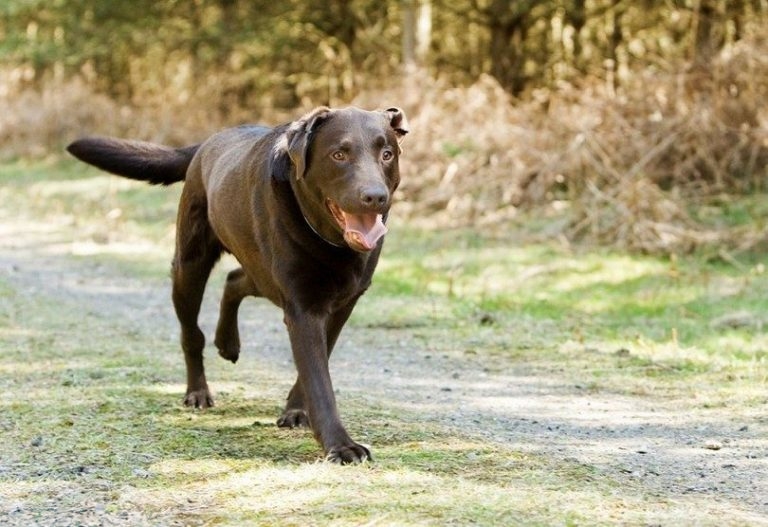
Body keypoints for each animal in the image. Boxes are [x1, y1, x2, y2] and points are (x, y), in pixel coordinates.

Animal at [67, 106, 408, 462]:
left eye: (387, 154)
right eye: (339, 154)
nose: (375, 197)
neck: (332, 242)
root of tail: (207, 142)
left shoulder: (341, 305)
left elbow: (317, 363)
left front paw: (296, 410)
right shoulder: (302, 307)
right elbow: (319, 381)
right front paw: (340, 445)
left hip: (261, 272)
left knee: (234, 281)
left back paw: (228, 343)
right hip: (190, 267)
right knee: (192, 334)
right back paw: (197, 391)